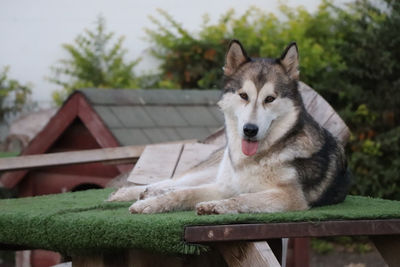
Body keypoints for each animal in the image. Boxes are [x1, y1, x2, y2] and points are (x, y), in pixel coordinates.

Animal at [109, 40, 350, 216]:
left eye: (269, 99)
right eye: (244, 96)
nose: (250, 130)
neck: (254, 159)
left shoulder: (290, 198)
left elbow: (243, 197)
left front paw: (215, 206)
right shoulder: (223, 185)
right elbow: (183, 194)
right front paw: (150, 204)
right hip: (210, 169)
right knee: (176, 181)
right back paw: (139, 192)